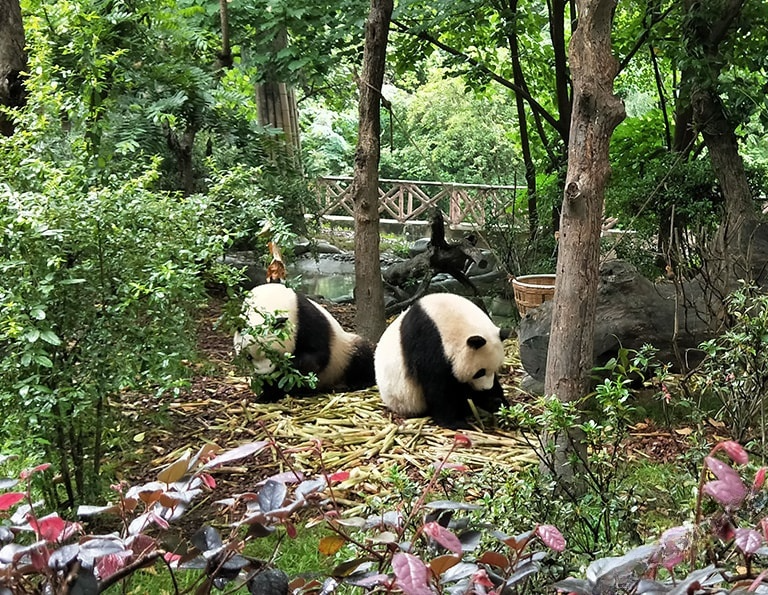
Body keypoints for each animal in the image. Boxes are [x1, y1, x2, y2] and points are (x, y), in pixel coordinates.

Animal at [234, 283, 375, 401]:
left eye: (272, 354)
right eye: (248, 357)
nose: (264, 374)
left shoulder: (305, 318)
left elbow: (316, 355)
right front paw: (268, 391)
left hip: (344, 353)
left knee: (362, 354)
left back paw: (359, 382)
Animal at [374, 293, 510, 428]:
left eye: (496, 369)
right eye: (480, 372)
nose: (486, 388)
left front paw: (499, 403)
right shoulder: (428, 342)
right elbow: (438, 388)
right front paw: (456, 422)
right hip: (404, 399)